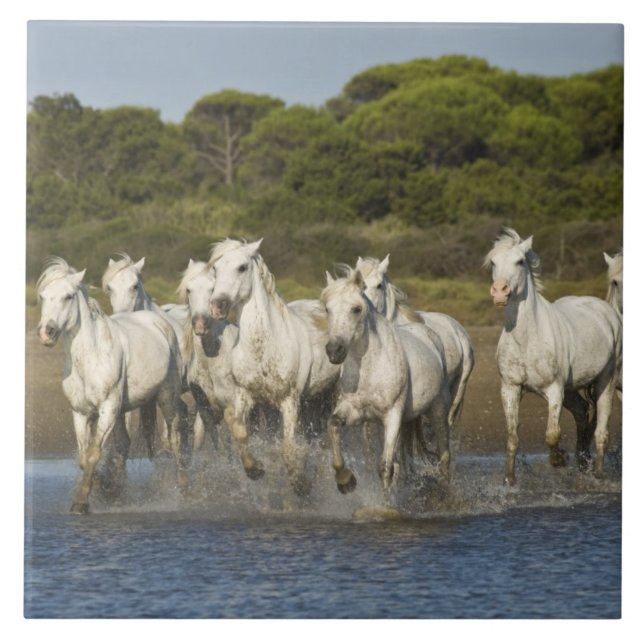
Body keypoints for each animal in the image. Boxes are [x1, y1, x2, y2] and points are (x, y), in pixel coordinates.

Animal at [37, 258, 190, 514]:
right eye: (43, 296)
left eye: (68, 296)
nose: (46, 333)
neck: (91, 356)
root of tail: (160, 323)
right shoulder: (81, 413)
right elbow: (84, 456)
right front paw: (105, 487)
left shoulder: (107, 409)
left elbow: (93, 453)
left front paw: (81, 502)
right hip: (123, 411)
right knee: (124, 444)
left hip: (166, 397)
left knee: (175, 438)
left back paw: (183, 490)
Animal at [207, 239, 339, 494]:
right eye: (215, 269)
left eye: (242, 267)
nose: (217, 306)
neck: (263, 347)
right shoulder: (245, 396)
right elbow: (240, 432)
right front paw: (255, 469)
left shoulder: (289, 401)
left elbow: (288, 449)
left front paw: (300, 484)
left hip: (330, 396)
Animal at [321, 266, 451, 495]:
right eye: (328, 309)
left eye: (356, 309)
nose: (334, 350)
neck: (371, 368)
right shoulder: (355, 412)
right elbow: (334, 425)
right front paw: (345, 480)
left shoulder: (392, 416)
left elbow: (384, 467)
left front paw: (385, 502)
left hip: (438, 410)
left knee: (443, 455)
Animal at [484, 229, 622, 484]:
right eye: (493, 263)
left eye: (520, 261)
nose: (499, 292)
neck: (527, 338)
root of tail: (608, 312)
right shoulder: (510, 387)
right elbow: (512, 437)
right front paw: (510, 481)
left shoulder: (554, 389)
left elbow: (552, 434)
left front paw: (559, 459)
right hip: (571, 389)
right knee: (582, 413)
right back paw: (582, 461)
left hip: (605, 381)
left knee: (601, 431)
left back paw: (597, 474)